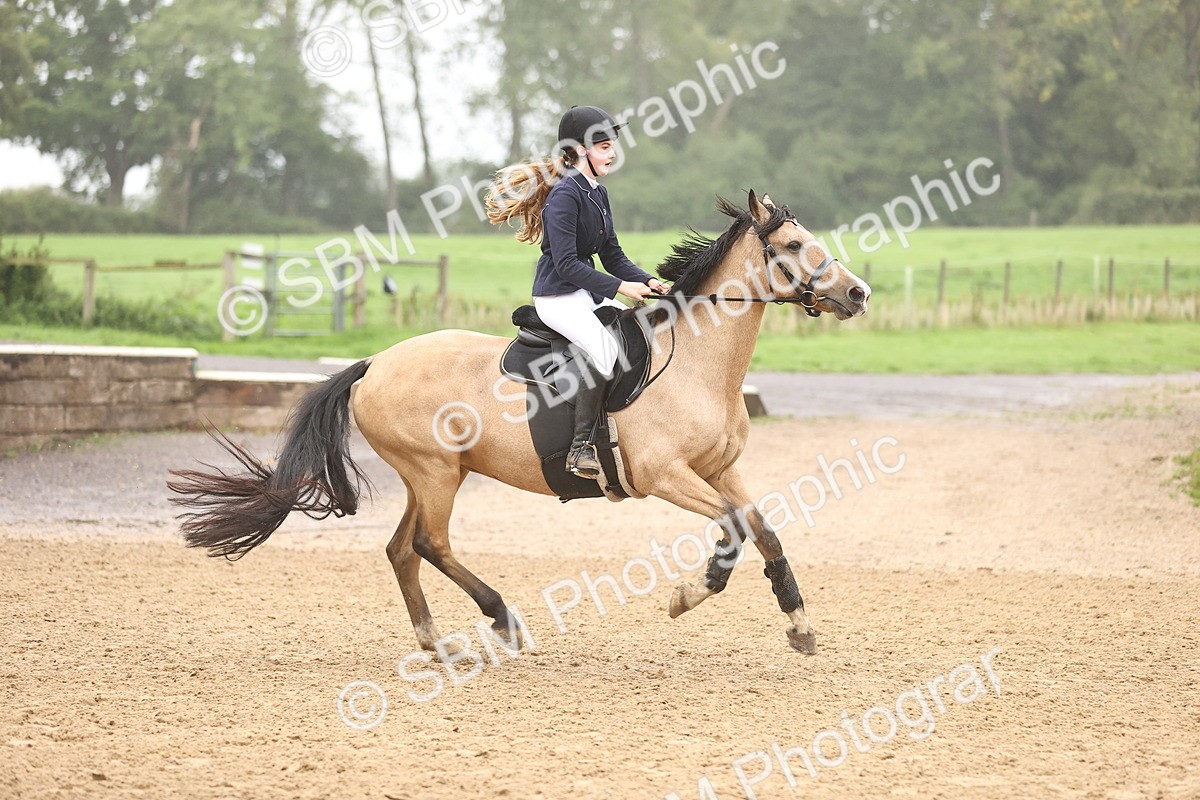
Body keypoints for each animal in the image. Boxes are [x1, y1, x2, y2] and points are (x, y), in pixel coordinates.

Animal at [168, 190, 871, 655]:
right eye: (792, 246)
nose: (857, 293)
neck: (697, 361)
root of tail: (374, 365)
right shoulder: (665, 475)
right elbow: (732, 530)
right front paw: (688, 595)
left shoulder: (720, 468)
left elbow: (764, 530)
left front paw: (799, 625)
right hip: (434, 473)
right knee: (431, 545)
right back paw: (501, 618)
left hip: (432, 475)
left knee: (401, 549)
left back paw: (436, 642)